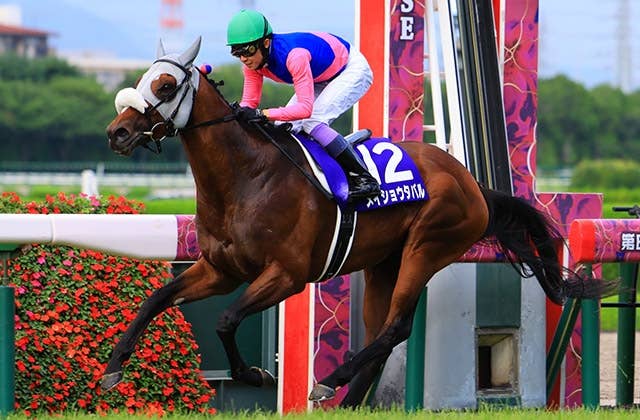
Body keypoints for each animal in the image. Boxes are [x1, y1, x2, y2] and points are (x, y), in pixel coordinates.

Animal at [103, 37, 615, 407]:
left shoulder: (286, 275)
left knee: (395, 329)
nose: (117, 132)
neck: (246, 178)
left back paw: (330, 382)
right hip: (382, 264)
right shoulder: (220, 269)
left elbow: (228, 319)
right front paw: (112, 368)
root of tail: (472, 183)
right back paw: (348, 400)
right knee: (380, 335)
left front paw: (253, 373)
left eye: (166, 86)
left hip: (427, 248)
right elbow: (157, 300)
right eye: (142, 80)